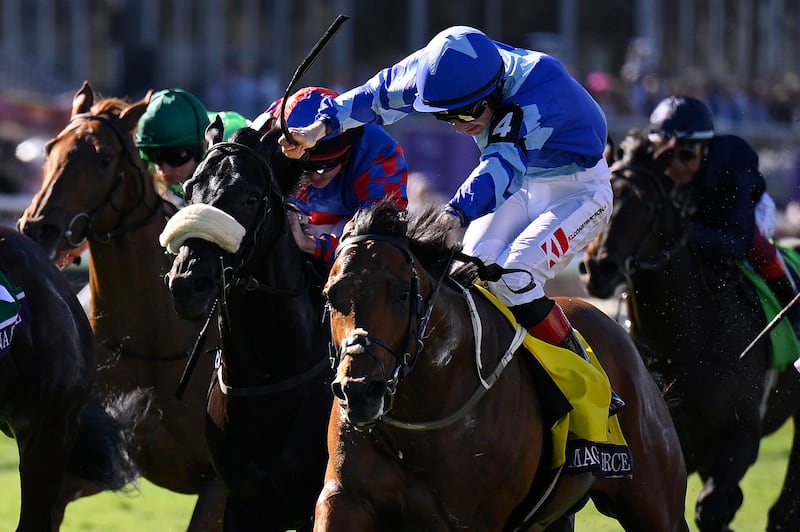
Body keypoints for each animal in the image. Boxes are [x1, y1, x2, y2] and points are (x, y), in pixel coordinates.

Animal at [16, 81, 228, 528]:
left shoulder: (219, 486)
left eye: (103, 157)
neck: (154, 345)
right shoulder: (87, 455)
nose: (39, 228)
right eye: (50, 148)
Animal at [318, 201, 688, 532]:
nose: (360, 391)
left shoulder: (473, 519)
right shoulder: (345, 499)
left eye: (402, 293)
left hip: (656, 503)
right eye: (331, 295)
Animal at [580, 130, 800, 532]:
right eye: (604, 201)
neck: (684, 341)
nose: (596, 269)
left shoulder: (742, 434)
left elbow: (712, 507)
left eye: (646, 207)